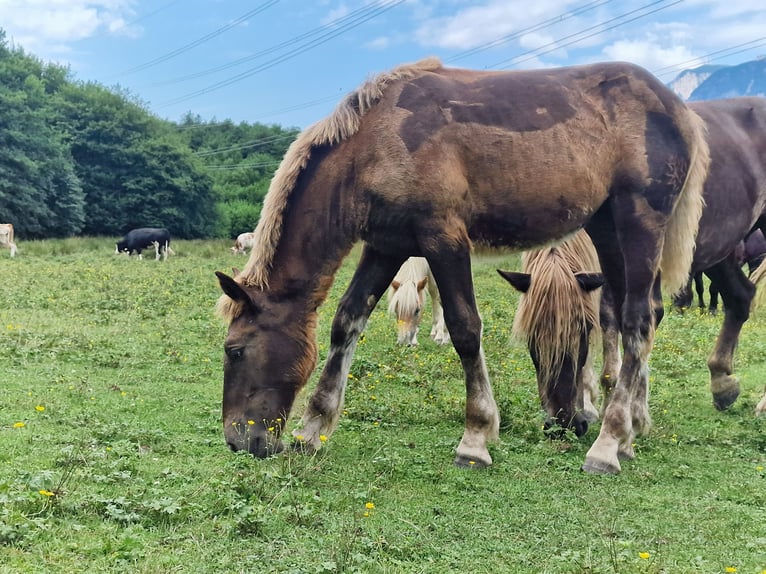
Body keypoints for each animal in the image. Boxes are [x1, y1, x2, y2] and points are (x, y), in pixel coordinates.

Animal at [213, 57, 712, 476]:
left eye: (234, 350)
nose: (238, 442)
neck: (375, 144)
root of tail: (677, 108)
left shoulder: (445, 239)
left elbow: (465, 329)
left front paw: (476, 437)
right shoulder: (386, 245)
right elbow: (347, 321)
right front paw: (313, 428)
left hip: (640, 221)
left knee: (638, 319)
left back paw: (609, 443)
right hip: (607, 227)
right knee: (639, 314)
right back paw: (631, 429)